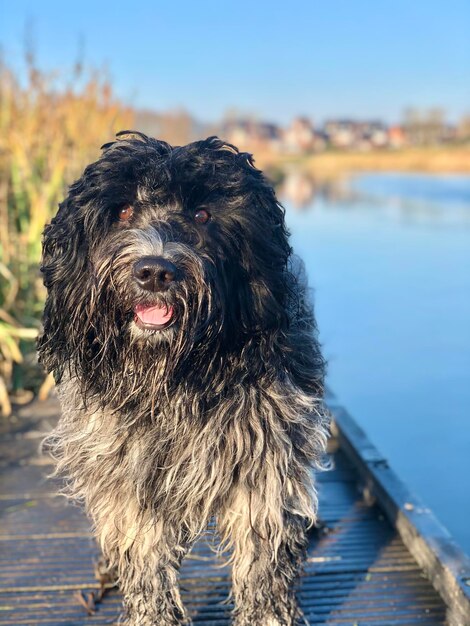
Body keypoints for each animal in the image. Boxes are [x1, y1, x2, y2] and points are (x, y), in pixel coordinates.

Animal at [38, 129, 328, 620]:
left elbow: (262, 560)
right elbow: (144, 557)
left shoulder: (264, 461)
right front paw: (151, 615)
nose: (155, 271)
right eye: (122, 211)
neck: (177, 375)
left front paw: (268, 614)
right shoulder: (127, 471)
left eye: (202, 214)